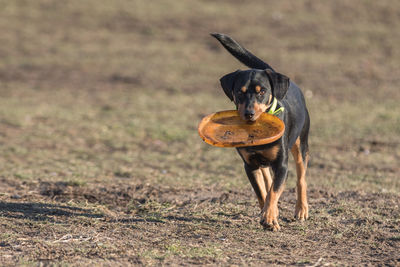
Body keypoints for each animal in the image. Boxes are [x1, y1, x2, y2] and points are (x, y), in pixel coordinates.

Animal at [211, 32, 310, 231]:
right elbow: (262, 192)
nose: (249, 113)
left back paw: (301, 209)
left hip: (301, 144)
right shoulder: (250, 165)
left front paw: (270, 218)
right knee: (267, 179)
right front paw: (269, 216)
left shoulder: (282, 164)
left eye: (262, 91)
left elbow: (274, 191)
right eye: (239, 92)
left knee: (301, 177)